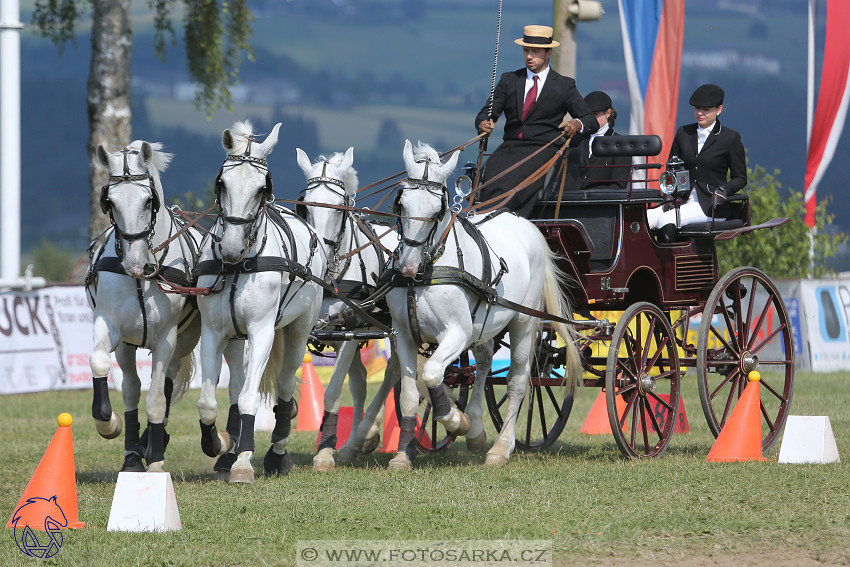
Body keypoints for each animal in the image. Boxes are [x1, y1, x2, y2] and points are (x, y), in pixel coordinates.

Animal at [86, 140, 200, 472]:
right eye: (109, 202)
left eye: (149, 201)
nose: (136, 264)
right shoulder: (109, 324)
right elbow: (100, 362)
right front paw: (108, 423)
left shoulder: (166, 338)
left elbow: (157, 399)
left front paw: (158, 460)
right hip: (127, 345)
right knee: (131, 387)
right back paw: (134, 452)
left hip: (185, 340)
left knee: (166, 383)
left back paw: (153, 442)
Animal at [195, 120, 324, 484]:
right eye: (221, 182)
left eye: (262, 187)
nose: (230, 248)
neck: (239, 266)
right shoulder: (212, 333)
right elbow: (208, 401)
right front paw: (219, 443)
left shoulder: (262, 331)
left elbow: (251, 399)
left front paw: (244, 462)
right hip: (234, 338)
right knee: (236, 384)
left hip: (298, 329)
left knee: (284, 385)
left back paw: (277, 453)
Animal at [294, 145, 400, 470]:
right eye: (304, 207)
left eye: (340, 208)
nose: (318, 253)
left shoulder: (352, 329)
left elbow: (333, 391)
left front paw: (325, 452)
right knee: (363, 382)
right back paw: (357, 441)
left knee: (392, 373)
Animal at [386, 141, 580, 470]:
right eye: (401, 204)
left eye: (438, 209)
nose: (408, 267)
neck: (427, 272)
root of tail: (527, 225)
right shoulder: (404, 335)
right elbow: (410, 395)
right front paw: (402, 456)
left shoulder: (457, 332)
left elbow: (433, 373)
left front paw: (455, 420)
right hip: (485, 324)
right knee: (485, 364)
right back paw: (477, 431)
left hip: (523, 322)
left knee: (517, 380)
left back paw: (501, 447)